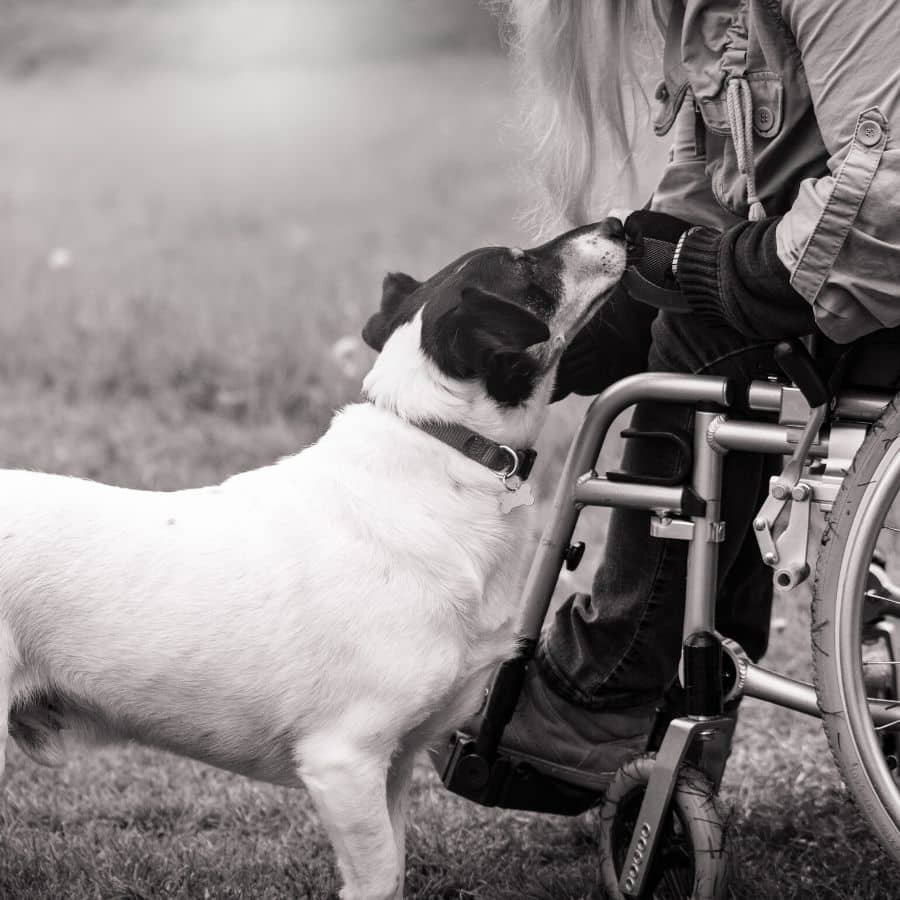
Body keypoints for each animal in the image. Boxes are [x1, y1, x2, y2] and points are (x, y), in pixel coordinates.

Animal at [1, 220, 624, 900]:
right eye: (523, 264)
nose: (620, 225)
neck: (442, 449)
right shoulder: (344, 761)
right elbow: (377, 879)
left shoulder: (392, 765)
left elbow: (394, 870)